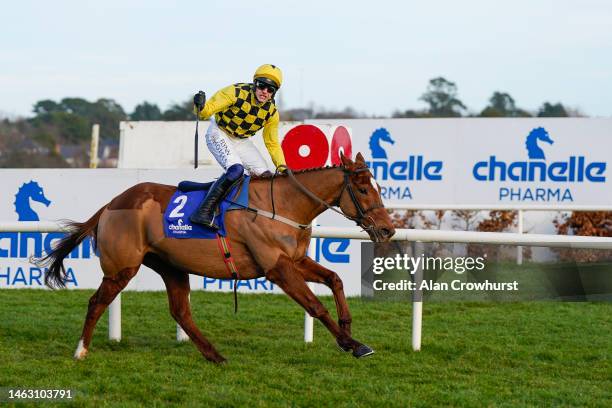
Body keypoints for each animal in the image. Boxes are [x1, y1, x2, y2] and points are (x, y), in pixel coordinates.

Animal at [40, 153, 400, 364]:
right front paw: (351, 343)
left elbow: (335, 280)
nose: (387, 229)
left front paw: (350, 332)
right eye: (364, 190)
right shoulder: (277, 267)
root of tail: (111, 203)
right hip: (122, 268)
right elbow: (315, 305)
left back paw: (214, 355)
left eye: (380, 187)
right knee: (96, 302)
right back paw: (81, 350)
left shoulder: (296, 260)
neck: (284, 205)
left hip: (170, 266)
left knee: (180, 311)